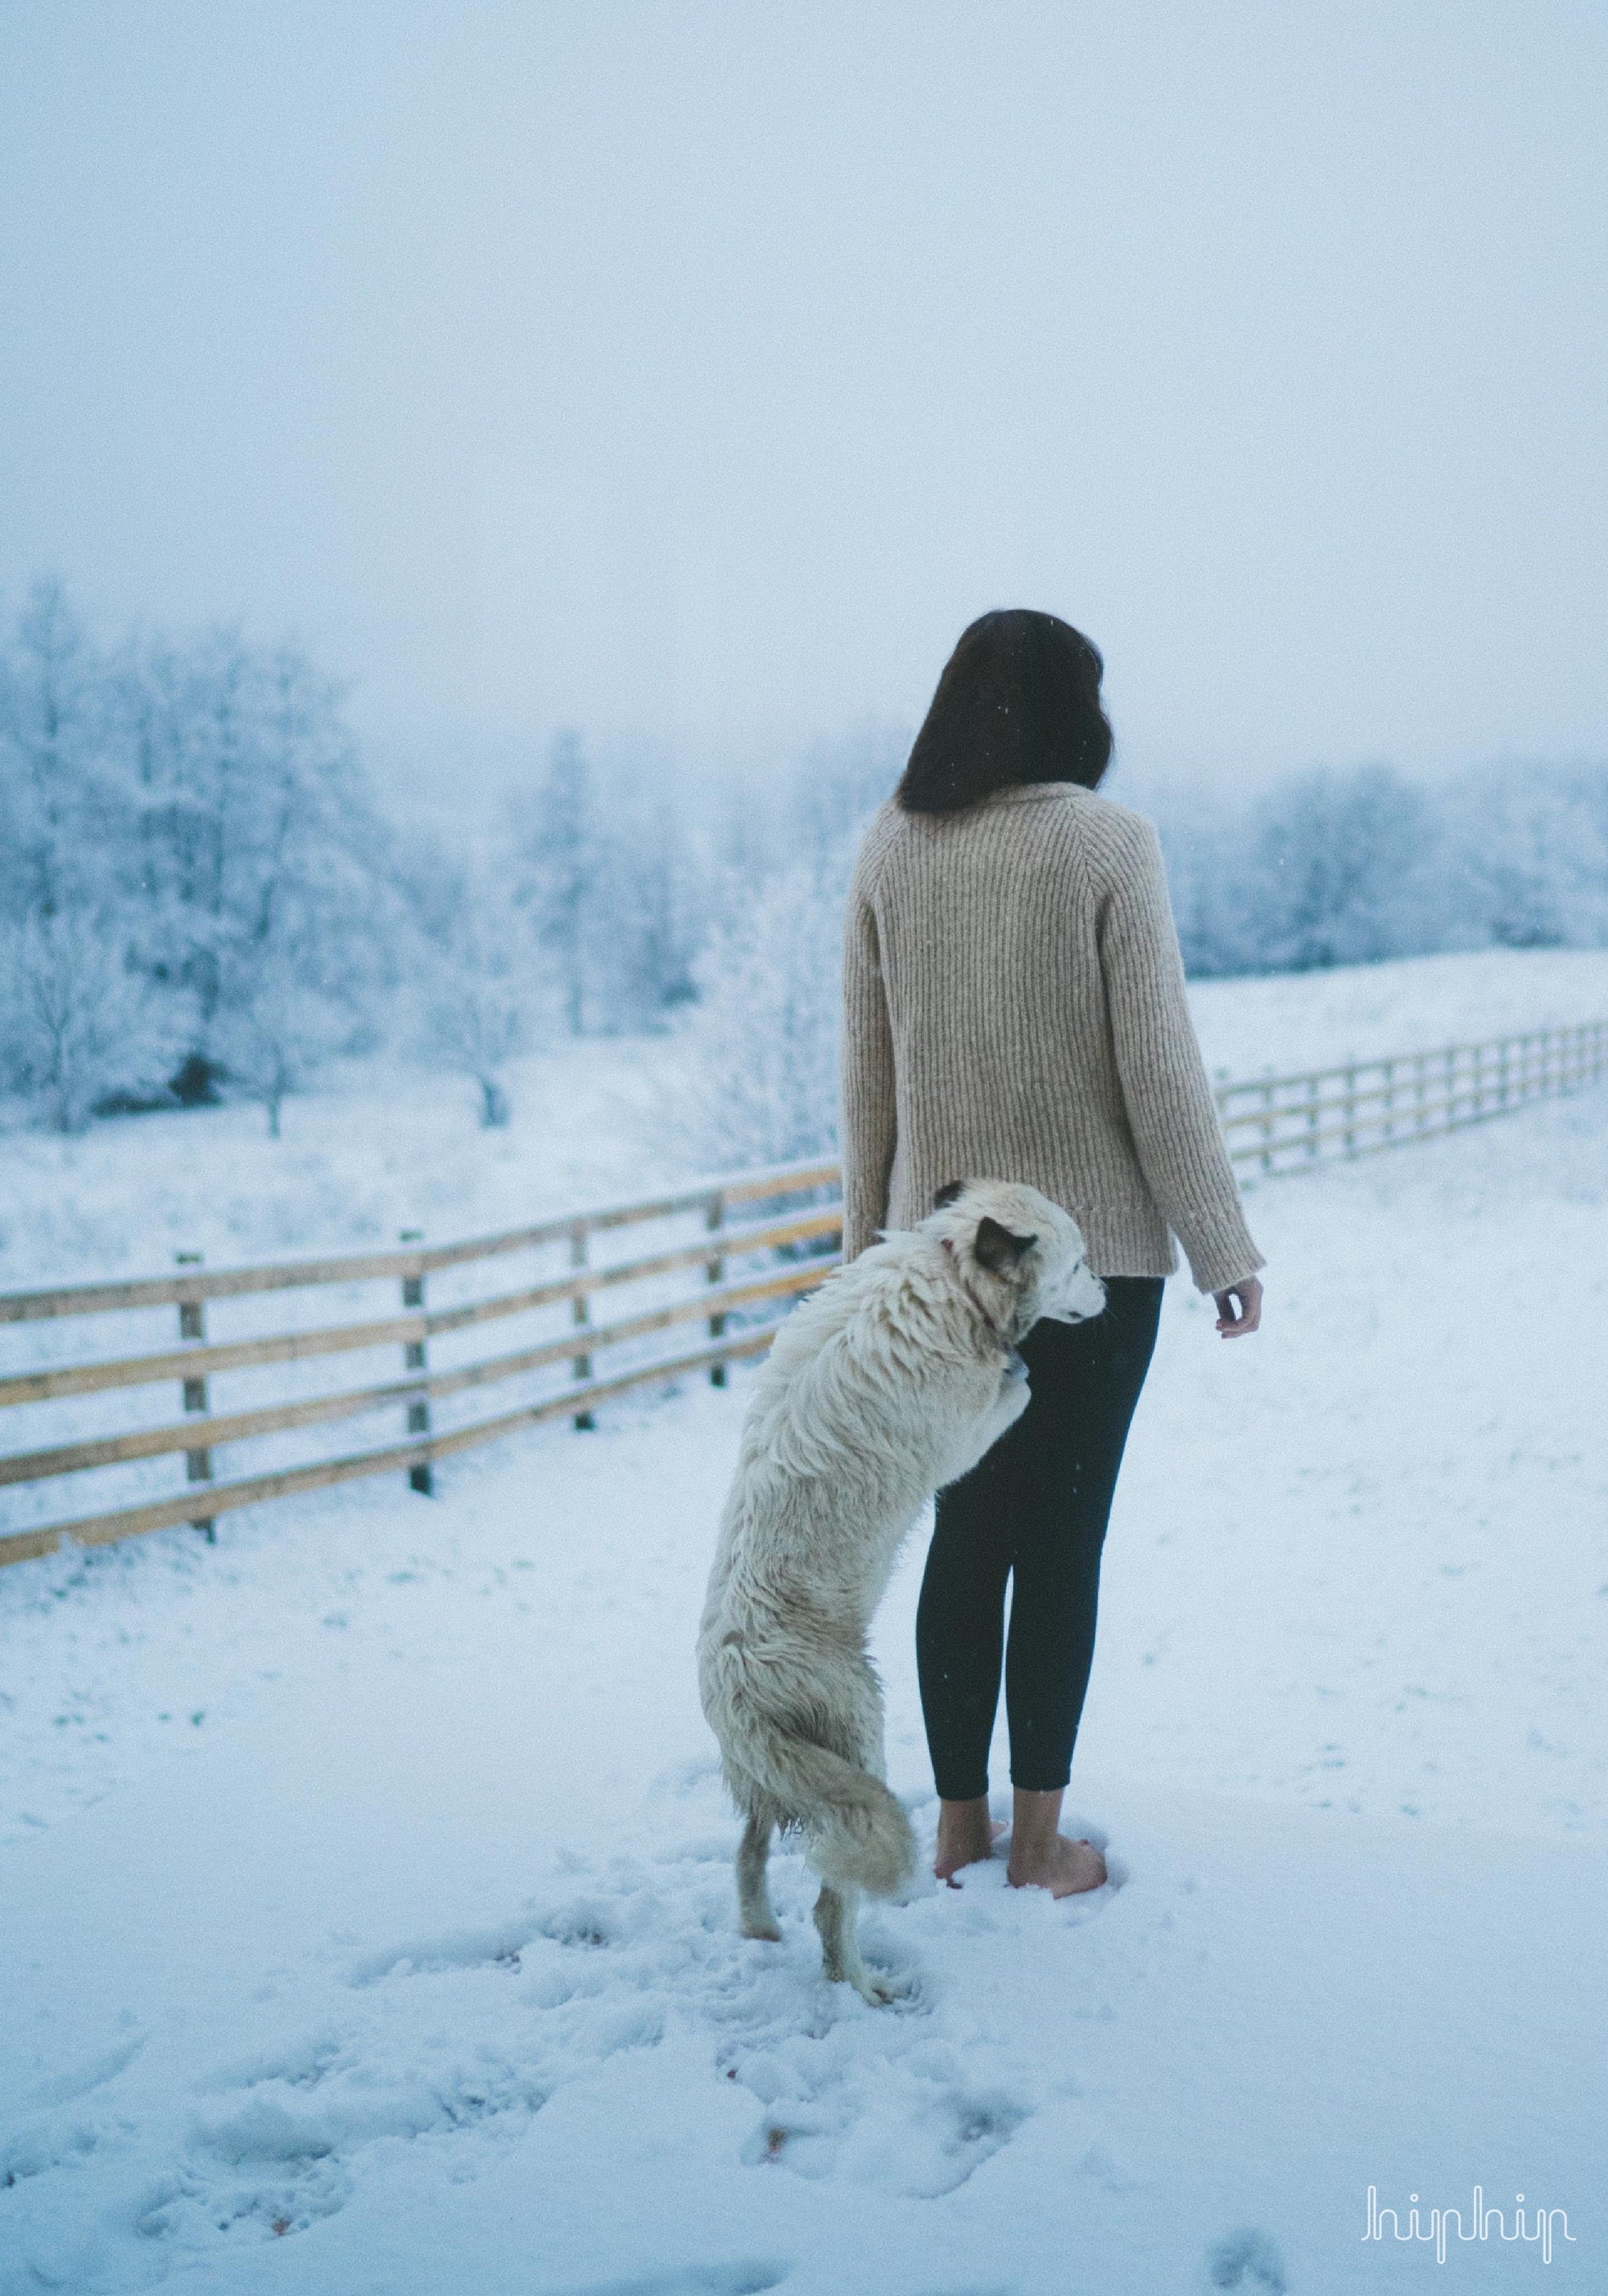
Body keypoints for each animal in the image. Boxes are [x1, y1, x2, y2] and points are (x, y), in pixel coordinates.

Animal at [698, 1175, 1111, 2002]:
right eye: (1081, 1263)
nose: (1112, 1291)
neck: (952, 1272)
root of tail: (735, 1685)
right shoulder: (963, 1439)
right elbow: (1016, 1391)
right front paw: (1018, 1368)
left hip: (784, 1781)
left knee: (750, 1854)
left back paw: (760, 1928)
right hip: (859, 1737)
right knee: (832, 1908)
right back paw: (863, 1986)